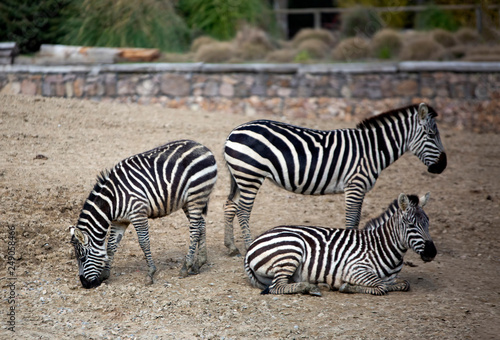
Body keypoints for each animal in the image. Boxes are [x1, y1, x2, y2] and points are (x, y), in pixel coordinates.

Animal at [69, 139, 218, 288]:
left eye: (82, 257)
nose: (85, 284)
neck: (113, 200)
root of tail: (202, 147)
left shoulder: (138, 213)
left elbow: (144, 242)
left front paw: (150, 273)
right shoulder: (120, 221)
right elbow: (111, 245)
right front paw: (105, 274)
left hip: (196, 195)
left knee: (194, 230)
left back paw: (186, 266)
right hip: (188, 201)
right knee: (201, 224)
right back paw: (199, 263)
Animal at [223, 102, 446, 254]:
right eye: (430, 134)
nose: (443, 166)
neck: (372, 150)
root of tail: (233, 132)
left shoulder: (361, 188)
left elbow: (356, 219)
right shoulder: (355, 185)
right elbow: (351, 219)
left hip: (240, 176)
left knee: (230, 205)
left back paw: (231, 246)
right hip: (250, 176)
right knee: (243, 211)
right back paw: (248, 245)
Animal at [244, 193, 436, 296]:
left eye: (428, 222)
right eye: (411, 225)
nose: (432, 252)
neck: (381, 245)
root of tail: (251, 246)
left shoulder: (390, 278)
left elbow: (403, 284)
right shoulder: (355, 269)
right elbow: (381, 287)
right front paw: (346, 286)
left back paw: (319, 284)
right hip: (291, 249)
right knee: (277, 287)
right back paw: (311, 287)